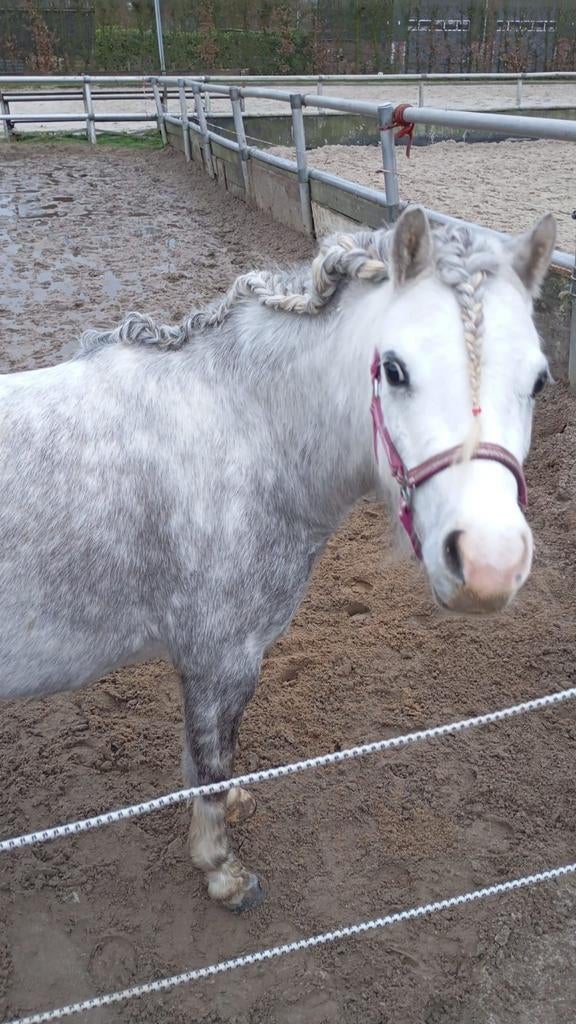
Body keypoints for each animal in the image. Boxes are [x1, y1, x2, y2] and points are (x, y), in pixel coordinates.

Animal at [0, 206, 556, 911]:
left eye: (539, 379)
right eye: (394, 369)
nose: (489, 563)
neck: (238, 430)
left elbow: (203, 762)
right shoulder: (221, 658)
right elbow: (210, 762)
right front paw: (221, 870)